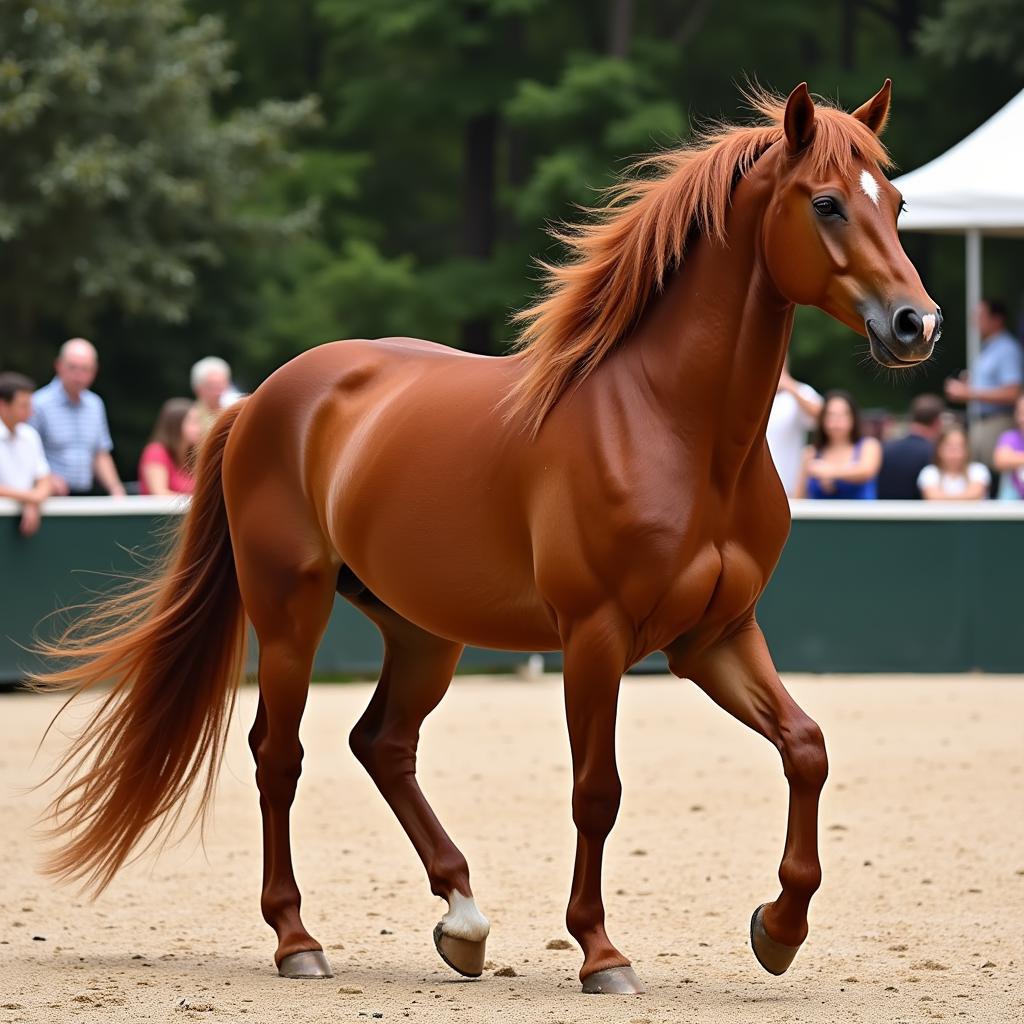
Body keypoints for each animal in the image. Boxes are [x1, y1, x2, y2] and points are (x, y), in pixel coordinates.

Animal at [37, 83, 937, 995]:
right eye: (826, 203)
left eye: (896, 203)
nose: (916, 324)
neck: (672, 427)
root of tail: (262, 400)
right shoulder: (596, 638)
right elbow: (596, 793)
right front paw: (601, 952)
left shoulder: (715, 637)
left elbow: (806, 748)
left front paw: (779, 927)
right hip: (291, 613)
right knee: (277, 757)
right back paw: (298, 940)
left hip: (423, 632)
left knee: (383, 745)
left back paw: (463, 919)